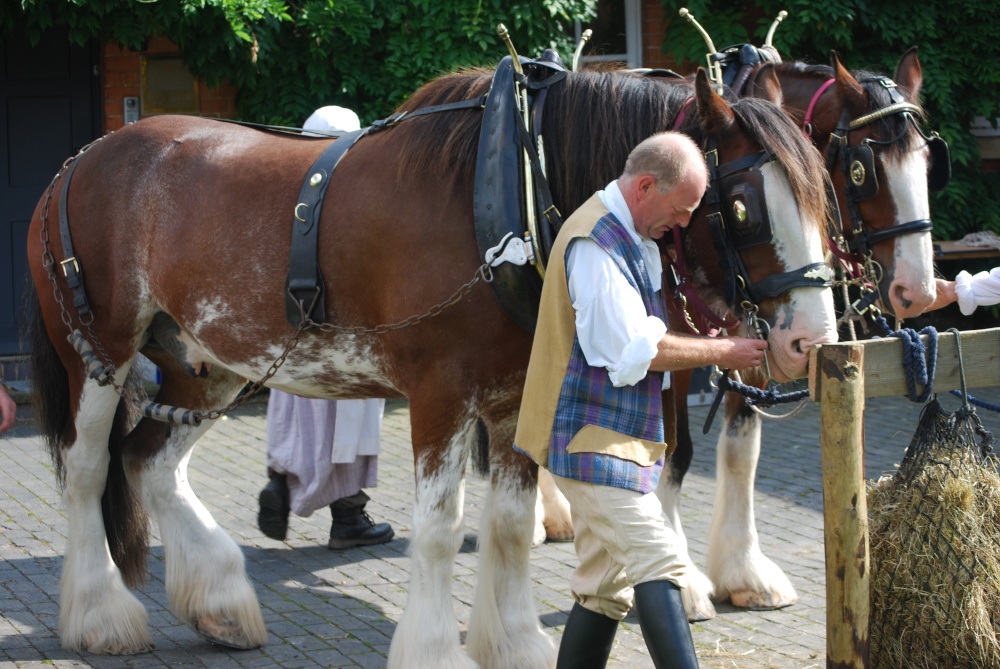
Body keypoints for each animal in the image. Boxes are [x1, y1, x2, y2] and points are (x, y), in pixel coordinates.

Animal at [26, 61, 837, 668]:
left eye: (822, 193)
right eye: (742, 206)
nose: (809, 340)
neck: (511, 188)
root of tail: (77, 163)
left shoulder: (512, 395)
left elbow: (508, 523)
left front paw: (515, 646)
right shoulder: (440, 393)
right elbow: (442, 527)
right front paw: (435, 650)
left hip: (209, 362)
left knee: (151, 462)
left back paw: (220, 602)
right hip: (98, 356)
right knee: (90, 467)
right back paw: (101, 614)